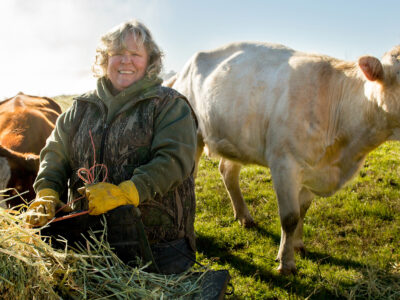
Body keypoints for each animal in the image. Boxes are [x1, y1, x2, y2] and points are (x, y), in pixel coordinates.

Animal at [167, 41, 400, 274]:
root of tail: (181, 72)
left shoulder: (314, 169)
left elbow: (302, 210)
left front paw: (297, 245)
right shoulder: (284, 163)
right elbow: (290, 217)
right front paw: (286, 262)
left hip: (235, 135)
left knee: (228, 172)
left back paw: (244, 216)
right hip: (195, 136)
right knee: (192, 178)